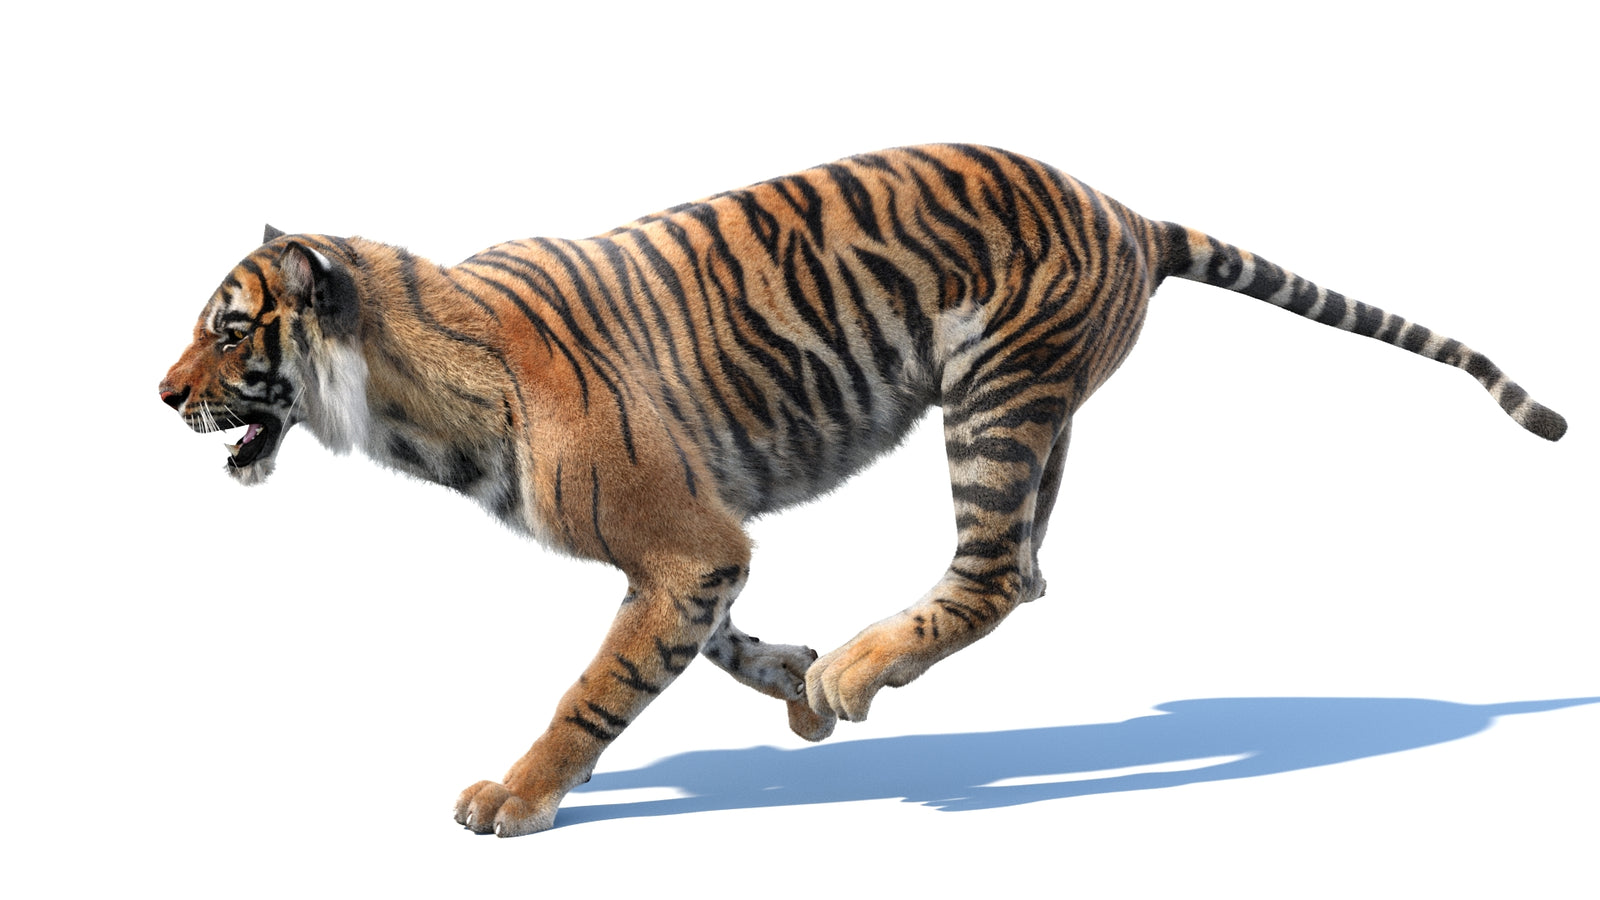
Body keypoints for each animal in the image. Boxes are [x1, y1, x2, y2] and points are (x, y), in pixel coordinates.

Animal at [158, 144, 1565, 837]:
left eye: (229, 332)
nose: (161, 395)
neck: (407, 400)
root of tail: (1130, 211)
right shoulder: (699, 550)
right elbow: (708, 643)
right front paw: (790, 685)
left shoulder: (684, 542)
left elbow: (598, 685)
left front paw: (517, 796)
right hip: (1038, 419)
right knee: (1028, 570)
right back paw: (848, 674)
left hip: (990, 399)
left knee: (995, 572)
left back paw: (858, 672)